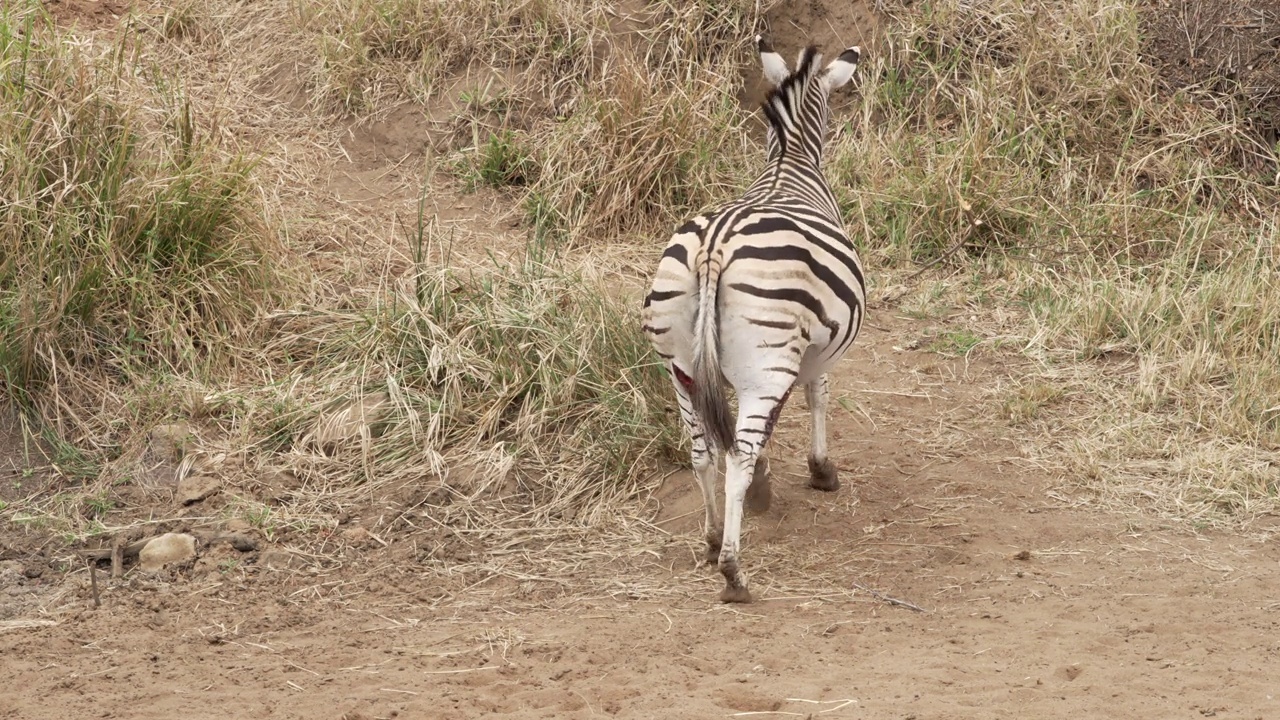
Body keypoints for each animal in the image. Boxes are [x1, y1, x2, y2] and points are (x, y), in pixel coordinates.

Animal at [640, 36, 870, 602]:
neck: (790, 167)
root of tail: (713, 247)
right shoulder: (813, 353)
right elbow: (815, 398)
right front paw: (821, 471)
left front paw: (768, 482)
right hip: (763, 363)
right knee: (736, 456)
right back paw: (733, 571)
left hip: (680, 364)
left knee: (703, 451)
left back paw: (709, 540)